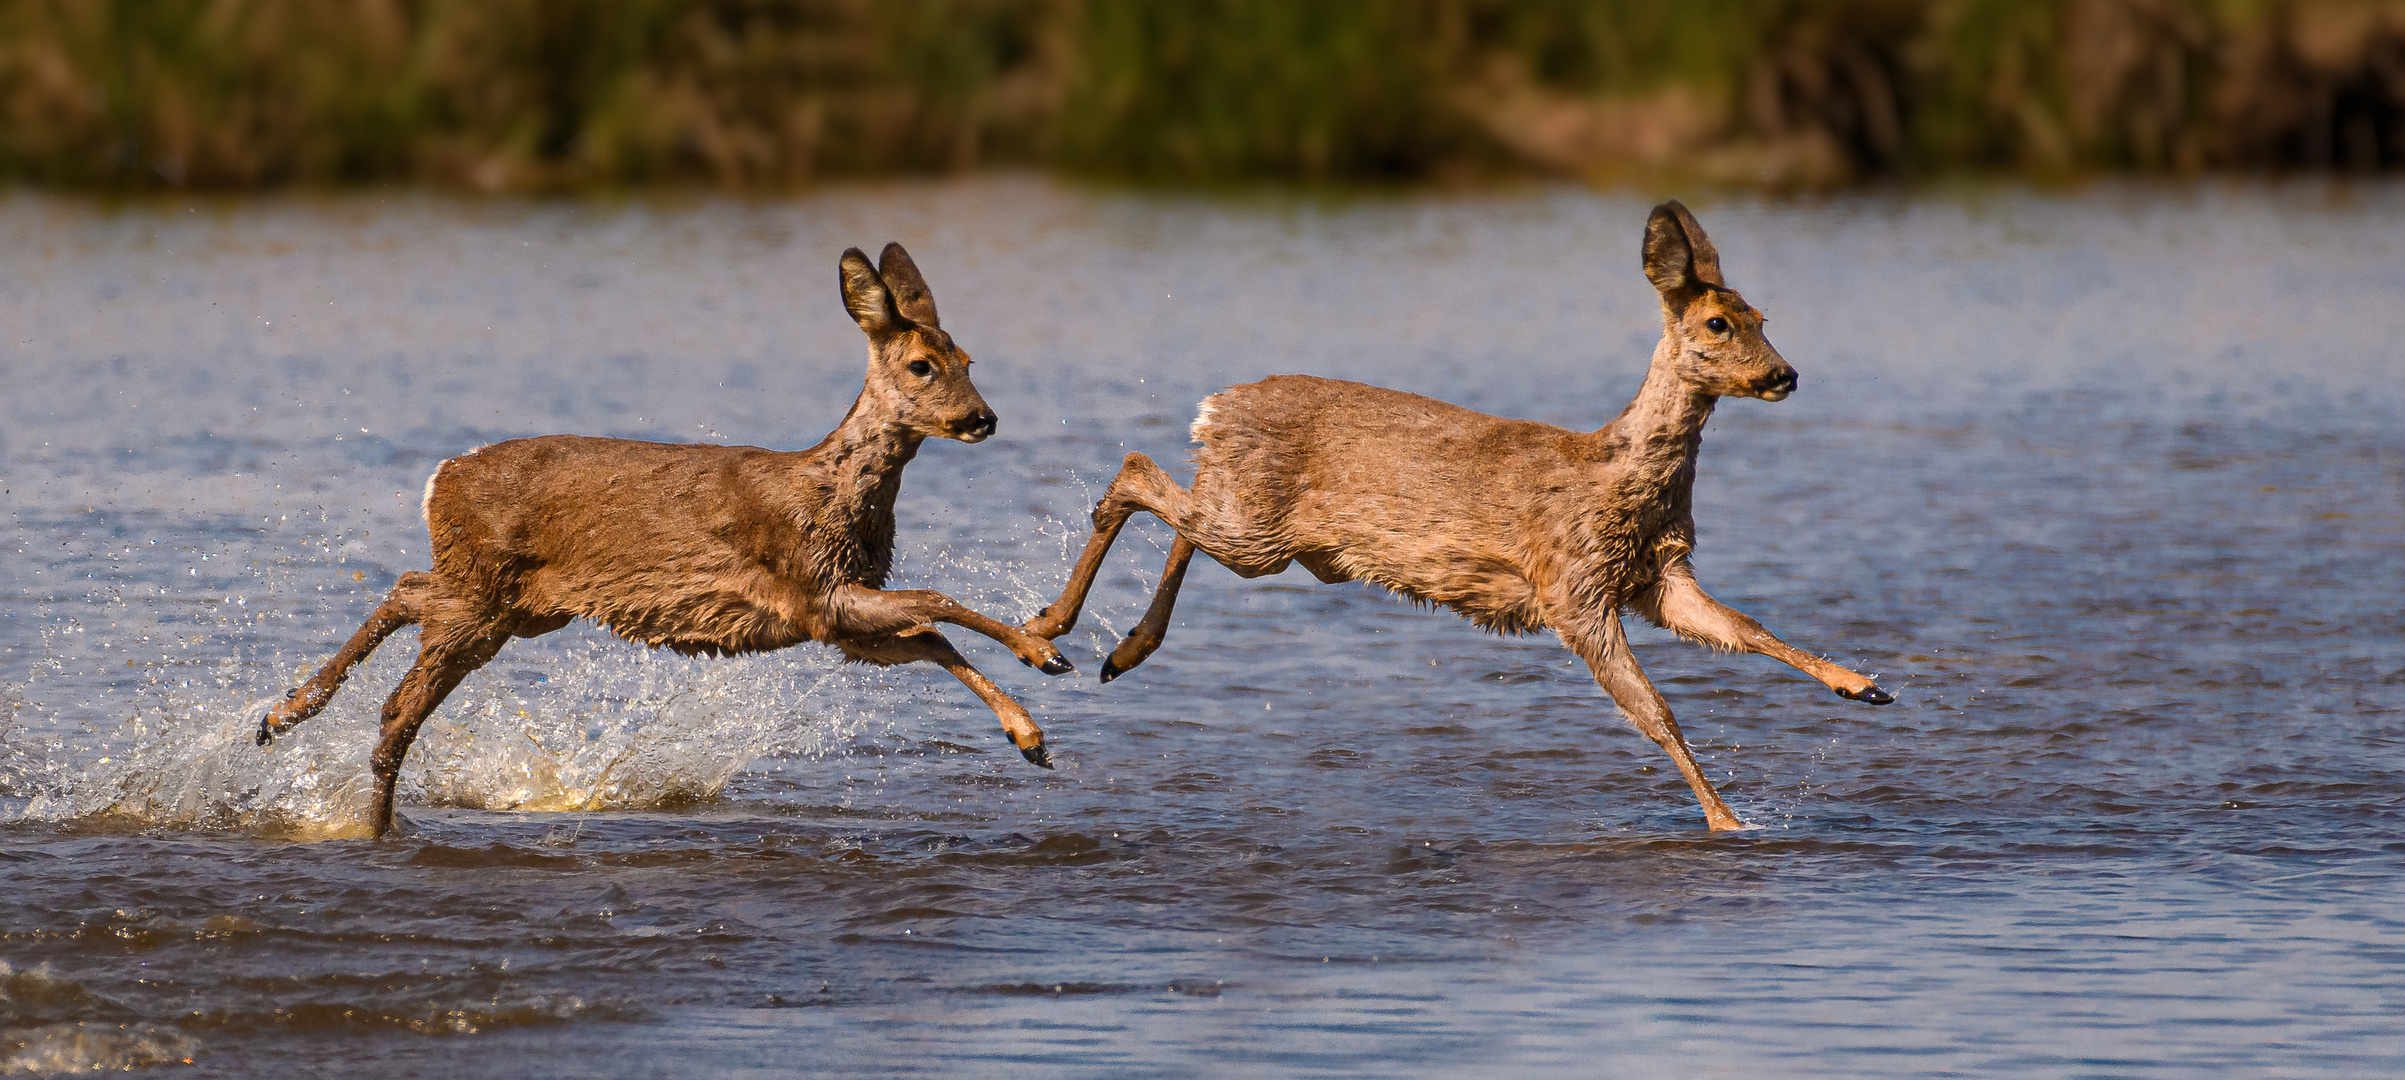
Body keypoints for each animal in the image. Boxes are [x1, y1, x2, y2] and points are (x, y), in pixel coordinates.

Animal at [260, 241, 1072, 832]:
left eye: (968, 361)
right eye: (922, 365)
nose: (982, 418)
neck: (835, 494)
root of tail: (440, 477)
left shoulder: (834, 619)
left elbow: (932, 636)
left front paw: (1029, 737)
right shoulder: (813, 590)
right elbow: (938, 602)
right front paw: (1044, 651)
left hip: (515, 607)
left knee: (404, 599)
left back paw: (284, 720)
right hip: (481, 592)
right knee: (401, 694)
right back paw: (346, 792)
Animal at [1024, 199, 1885, 827]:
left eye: (1764, 317)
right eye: (1717, 323)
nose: (1784, 374)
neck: (1619, 476)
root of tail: (1215, 406)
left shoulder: (1655, 576)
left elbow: (1745, 628)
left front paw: (1863, 686)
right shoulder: (1571, 590)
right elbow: (1655, 712)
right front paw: (1728, 823)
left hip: (1267, 531)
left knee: (1177, 509)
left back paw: (1118, 650)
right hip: (1253, 530)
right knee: (1136, 473)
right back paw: (1048, 632)